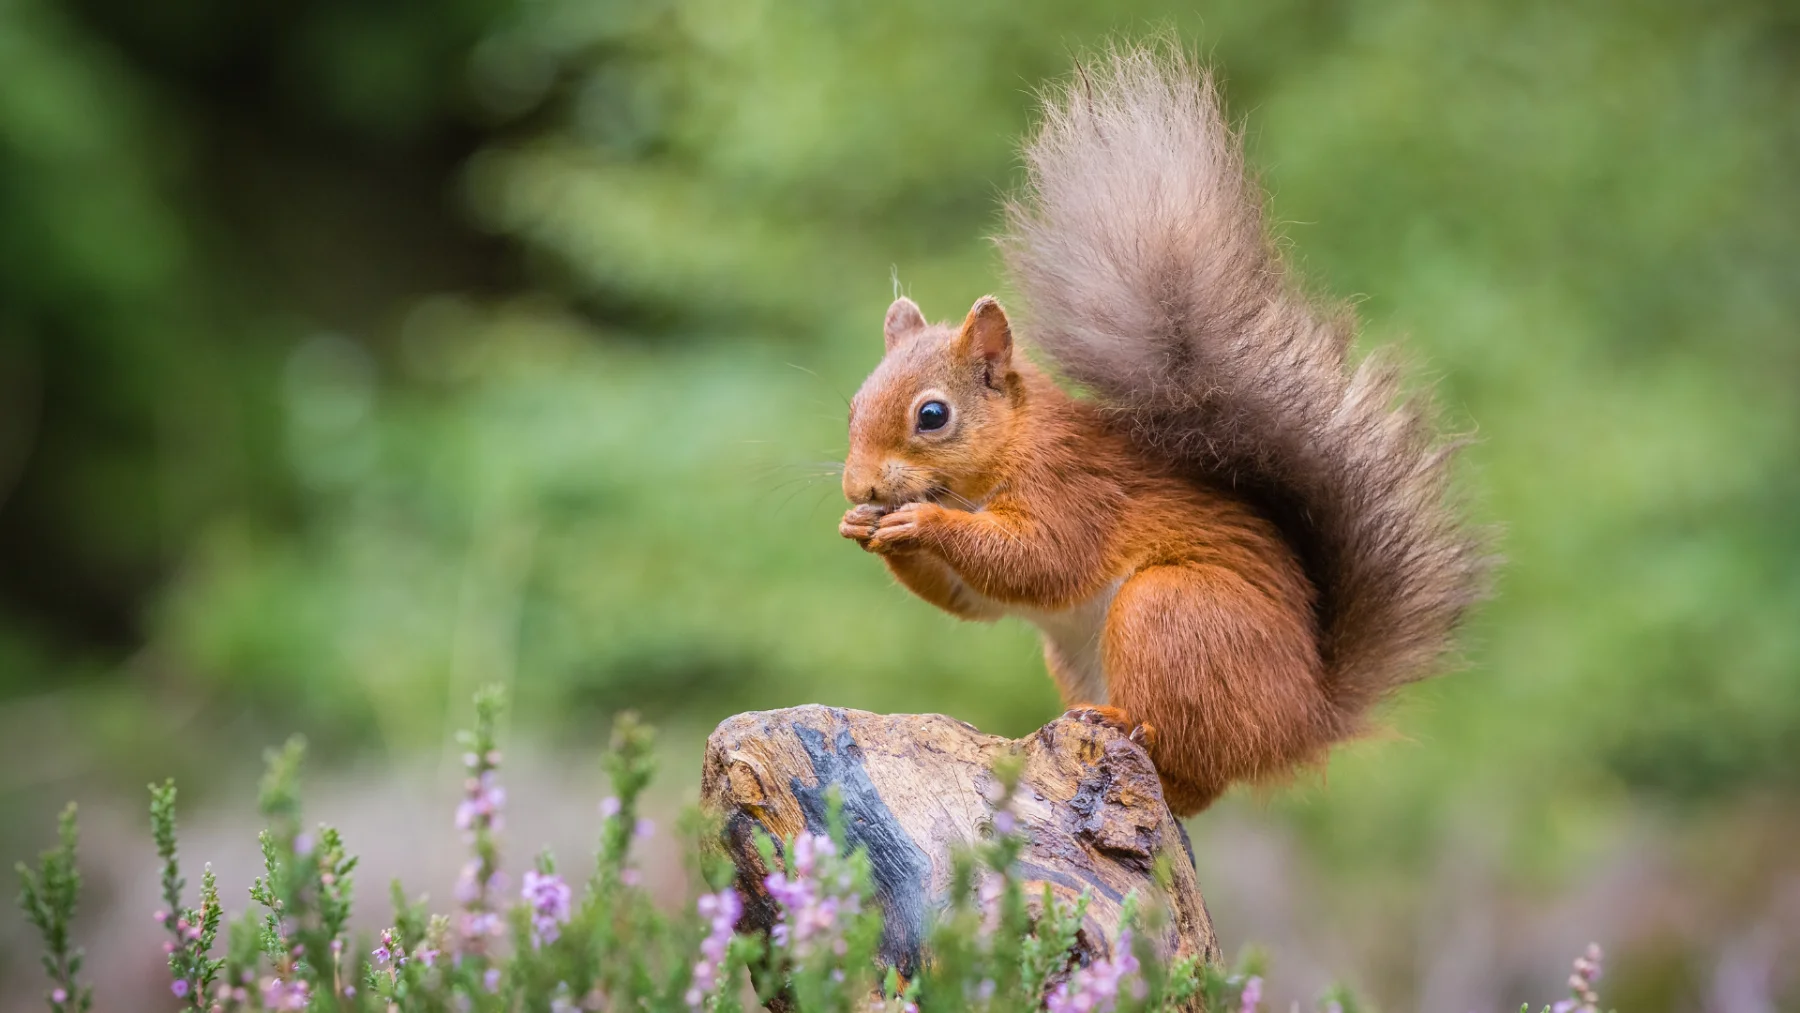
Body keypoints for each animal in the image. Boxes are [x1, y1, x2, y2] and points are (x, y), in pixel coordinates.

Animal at [837, 45, 1489, 816]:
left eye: (932, 415)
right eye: (853, 405)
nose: (858, 486)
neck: (1006, 451)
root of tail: (1303, 719)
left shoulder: (1074, 490)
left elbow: (1039, 559)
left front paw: (921, 522)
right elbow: (973, 599)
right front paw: (862, 527)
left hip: (1172, 615)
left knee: (1191, 763)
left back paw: (1121, 723)